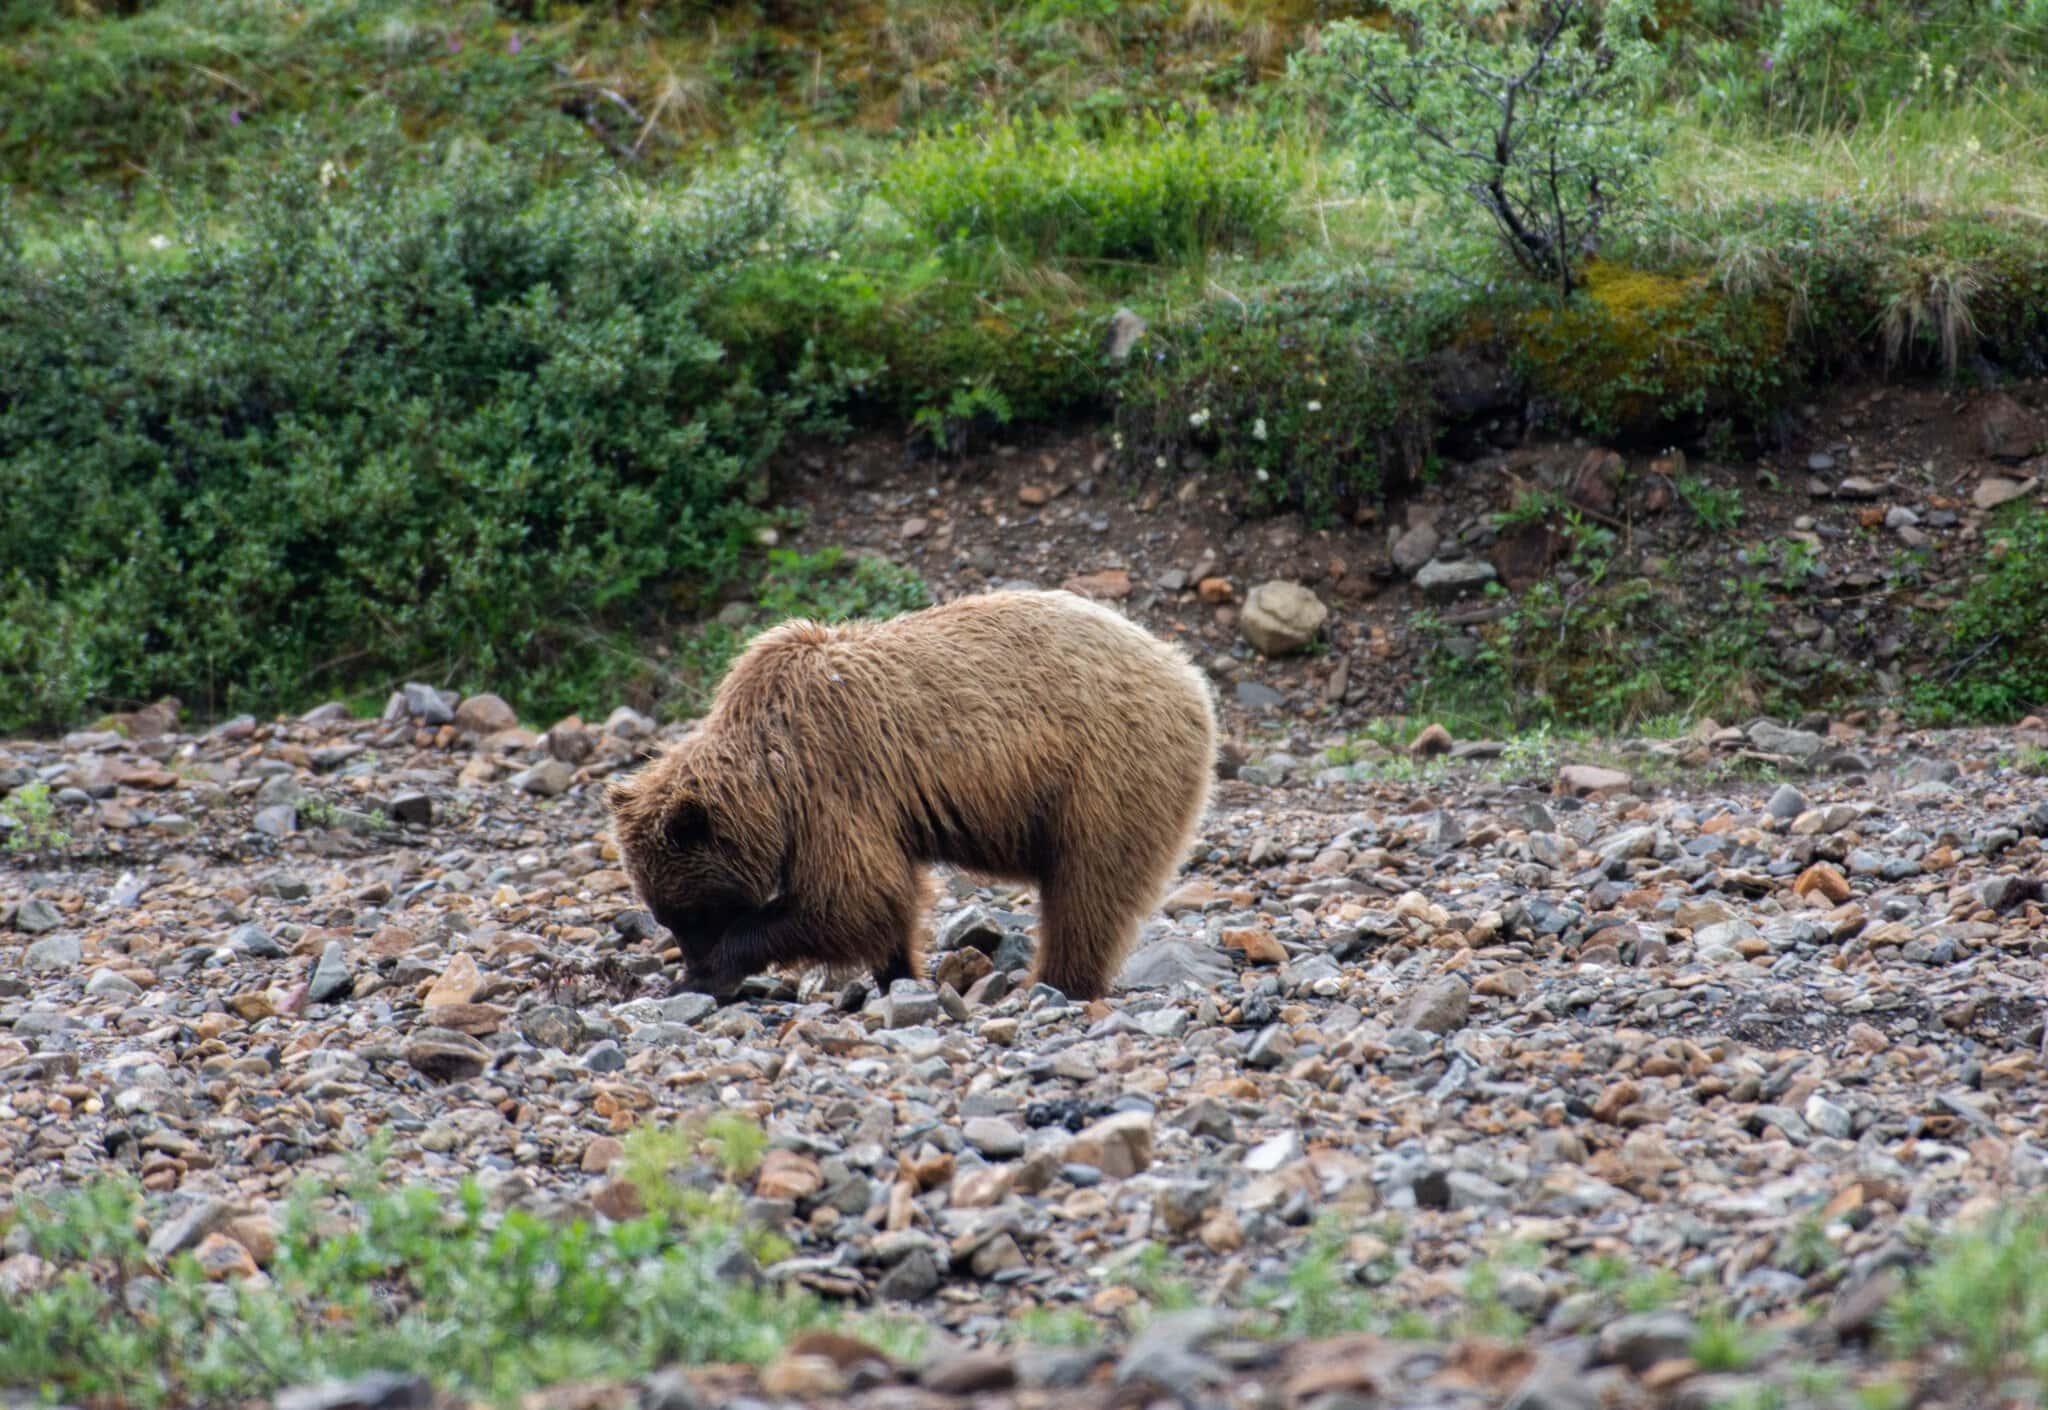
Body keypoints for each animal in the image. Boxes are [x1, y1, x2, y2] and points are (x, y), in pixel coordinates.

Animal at [606, 588, 1218, 1002]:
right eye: (668, 915)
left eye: (690, 911)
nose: (691, 960)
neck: (773, 777)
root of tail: (1185, 671)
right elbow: (880, 904)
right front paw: (897, 974)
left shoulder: (834, 780)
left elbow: (853, 897)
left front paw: (712, 971)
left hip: (1105, 769)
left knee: (1089, 886)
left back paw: (1056, 982)